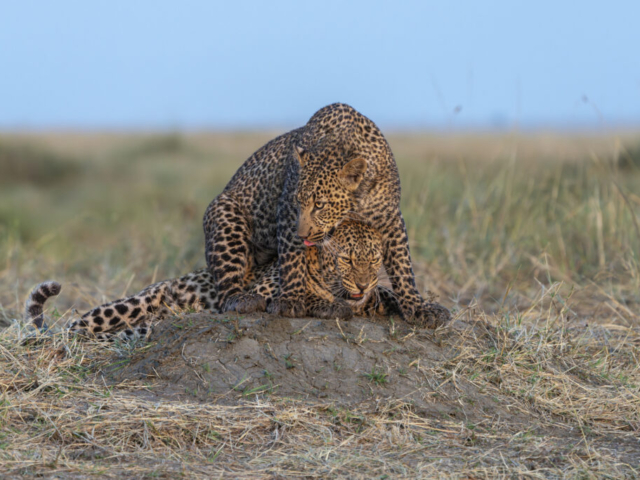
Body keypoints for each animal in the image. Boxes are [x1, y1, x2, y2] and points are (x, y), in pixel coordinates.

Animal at [25, 219, 401, 340]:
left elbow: (379, 297)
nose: (364, 283)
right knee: (75, 327)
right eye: (347, 260)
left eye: (374, 260)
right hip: (134, 303)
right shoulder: (260, 293)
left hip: (144, 325)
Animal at [203, 102, 450, 328]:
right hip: (226, 213)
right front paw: (290, 299)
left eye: (320, 205)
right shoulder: (286, 211)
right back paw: (242, 299)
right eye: (298, 202)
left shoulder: (390, 218)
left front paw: (417, 307)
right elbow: (292, 258)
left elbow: (403, 265)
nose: (302, 235)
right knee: (226, 291)